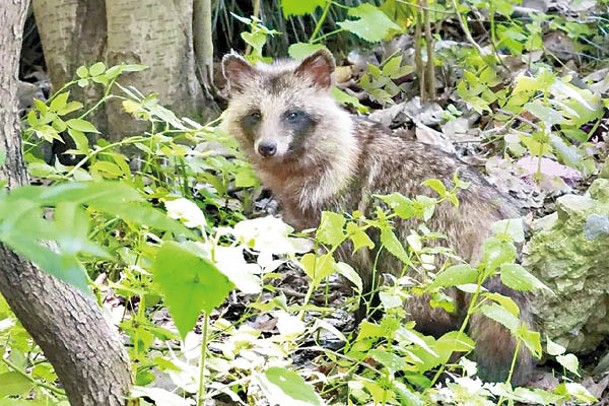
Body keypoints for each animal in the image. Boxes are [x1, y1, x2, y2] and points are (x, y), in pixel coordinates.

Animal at [222, 48, 532, 384]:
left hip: (425, 252)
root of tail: (494, 217)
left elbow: (364, 288)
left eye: (292, 114)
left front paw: (356, 337)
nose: (267, 147)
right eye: (256, 115)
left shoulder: (349, 227)